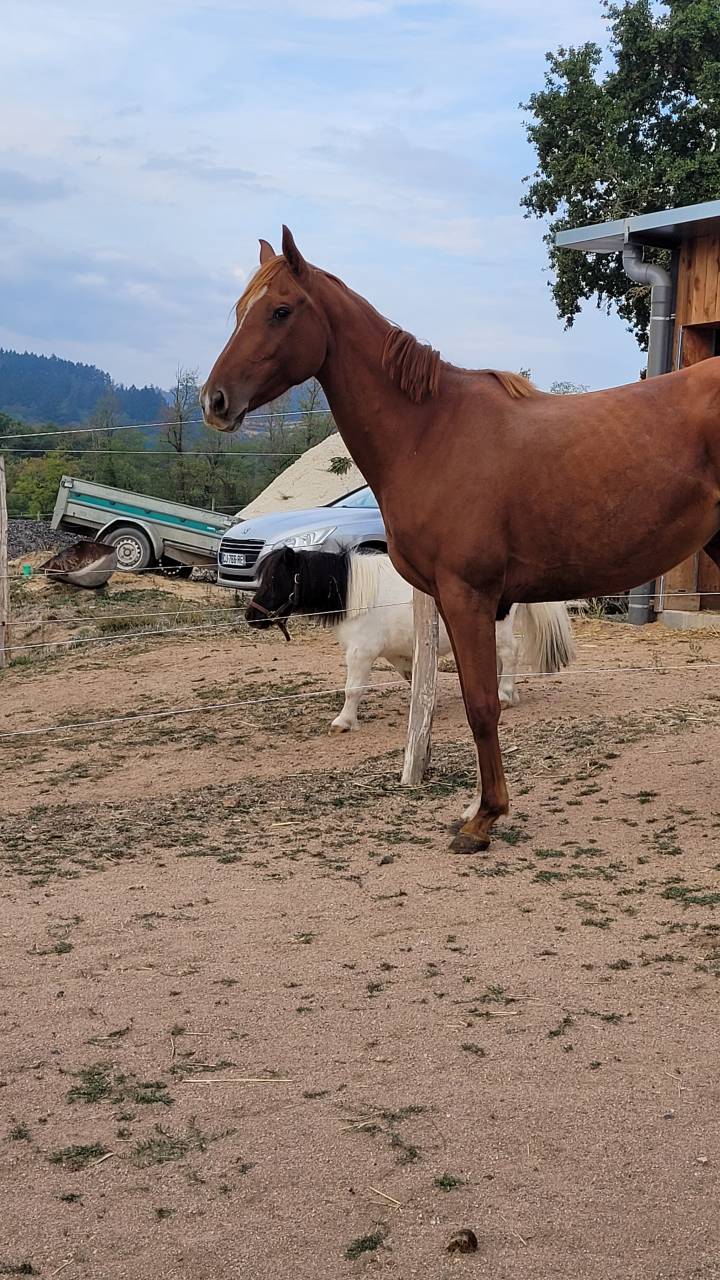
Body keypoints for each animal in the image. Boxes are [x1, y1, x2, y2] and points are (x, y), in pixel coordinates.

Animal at [246, 547, 574, 735]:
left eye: (274, 579)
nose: (251, 616)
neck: (356, 595)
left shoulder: (361, 653)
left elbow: (352, 689)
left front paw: (344, 721)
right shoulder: (399, 654)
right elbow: (413, 679)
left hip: (500, 628)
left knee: (510, 654)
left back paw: (505, 695)